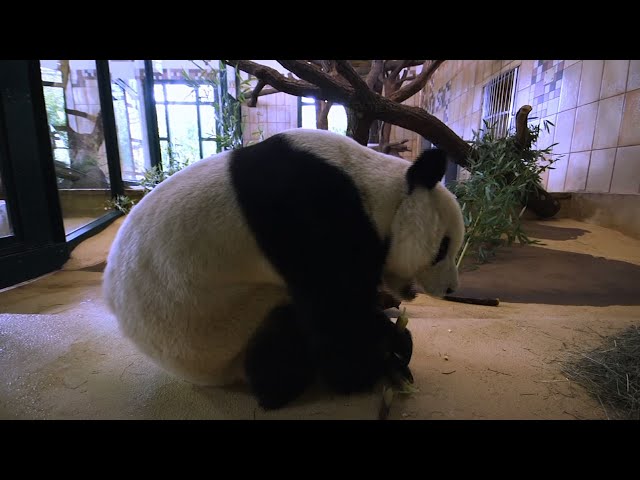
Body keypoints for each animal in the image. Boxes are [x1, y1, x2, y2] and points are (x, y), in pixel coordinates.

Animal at [102, 128, 465, 410]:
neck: (376, 193)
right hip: (220, 328)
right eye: (442, 248)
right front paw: (377, 360)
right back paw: (278, 388)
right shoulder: (312, 217)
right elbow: (335, 312)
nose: (451, 288)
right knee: (281, 333)